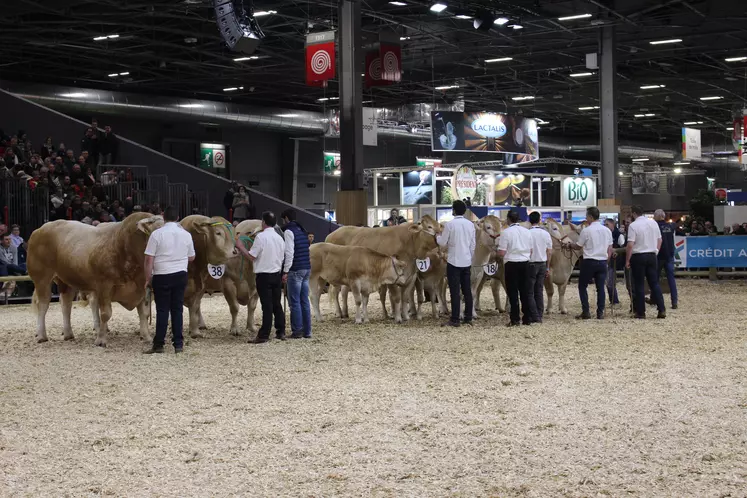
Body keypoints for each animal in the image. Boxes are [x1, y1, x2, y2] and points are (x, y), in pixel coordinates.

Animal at [30, 213, 164, 346]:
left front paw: (147, 336)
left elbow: (144, 313)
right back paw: (41, 335)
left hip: (66, 280)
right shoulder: (104, 286)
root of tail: (41, 228)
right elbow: (105, 313)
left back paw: (68, 334)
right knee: (43, 304)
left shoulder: (141, 286)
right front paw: (101, 339)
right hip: (42, 278)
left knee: (66, 303)